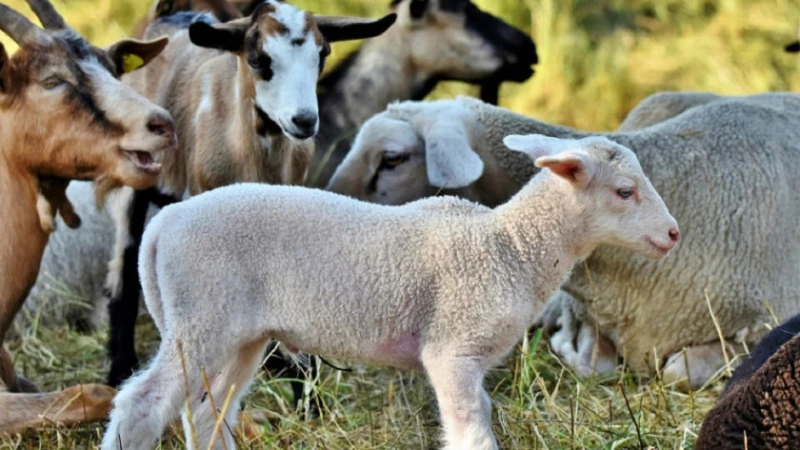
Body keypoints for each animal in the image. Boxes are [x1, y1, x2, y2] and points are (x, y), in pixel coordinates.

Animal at [98, 134, 676, 450]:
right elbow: (472, 432)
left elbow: (479, 417)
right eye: (625, 191)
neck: (509, 246)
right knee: (140, 405)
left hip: (241, 335)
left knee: (206, 413)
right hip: (201, 319)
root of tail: (165, 223)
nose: (672, 235)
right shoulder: (451, 349)